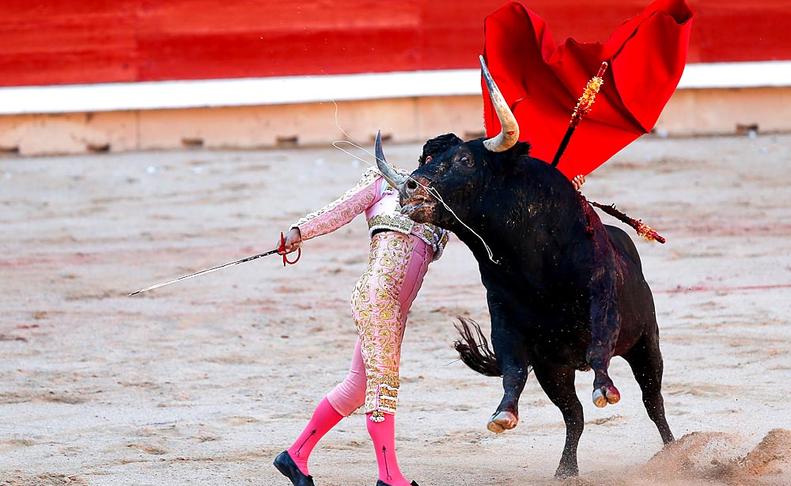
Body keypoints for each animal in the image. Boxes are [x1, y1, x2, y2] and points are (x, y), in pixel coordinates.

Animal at [380, 134, 672, 478]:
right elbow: (513, 368)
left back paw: (673, 450)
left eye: (465, 160)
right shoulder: (503, 315)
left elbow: (600, 344)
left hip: (646, 344)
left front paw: (604, 389)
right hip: (553, 371)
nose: (409, 186)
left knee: (653, 401)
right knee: (574, 415)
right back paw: (566, 470)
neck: (532, 262)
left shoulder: (602, 295)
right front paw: (503, 414)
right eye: (426, 160)